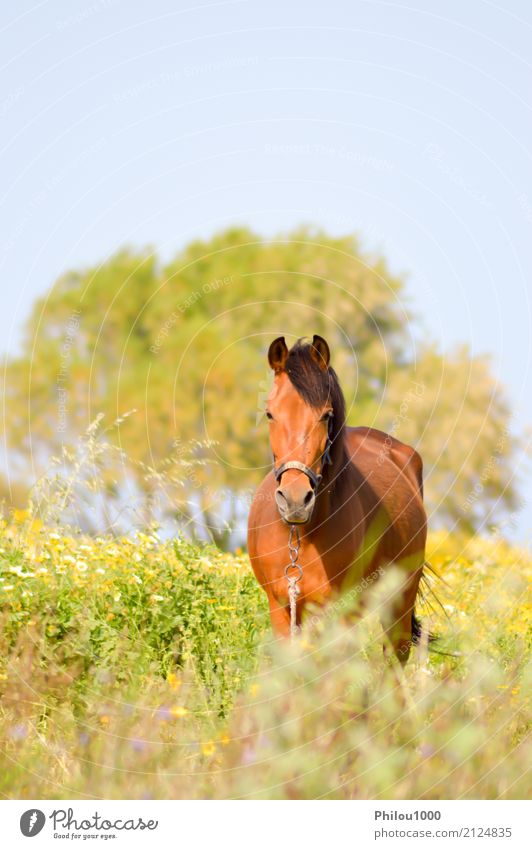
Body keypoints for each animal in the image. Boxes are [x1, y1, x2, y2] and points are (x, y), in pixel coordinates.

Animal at [248, 332, 428, 664]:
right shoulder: (282, 608)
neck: (303, 535)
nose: (295, 500)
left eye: (326, 415)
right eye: (269, 413)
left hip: (399, 601)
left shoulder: (342, 610)